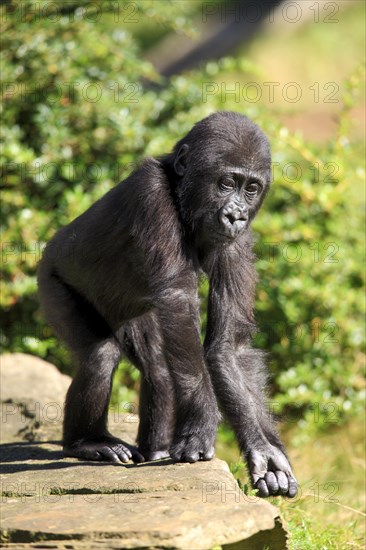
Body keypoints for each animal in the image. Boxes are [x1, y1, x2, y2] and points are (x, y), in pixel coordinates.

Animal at [38, 112, 298, 500]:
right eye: (226, 183)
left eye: (251, 189)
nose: (236, 215)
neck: (181, 194)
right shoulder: (151, 195)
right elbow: (178, 301)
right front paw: (202, 425)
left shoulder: (241, 238)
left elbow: (229, 347)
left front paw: (264, 450)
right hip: (51, 280)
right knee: (100, 356)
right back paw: (87, 443)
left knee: (158, 370)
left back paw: (156, 450)